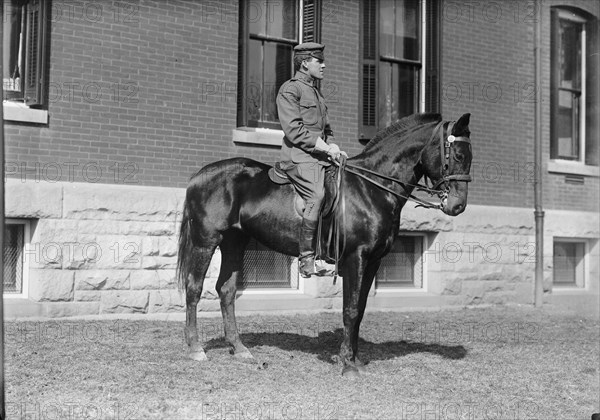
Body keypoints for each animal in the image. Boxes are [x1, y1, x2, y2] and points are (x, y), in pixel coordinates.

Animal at [177, 111, 474, 378]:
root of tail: (200, 175)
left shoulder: (373, 261)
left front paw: (353, 358)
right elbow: (350, 310)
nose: (458, 206)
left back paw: (239, 348)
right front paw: (348, 365)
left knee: (226, 290)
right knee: (194, 289)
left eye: (470, 157)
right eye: (458, 156)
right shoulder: (355, 258)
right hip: (206, 241)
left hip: (235, 242)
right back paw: (195, 348)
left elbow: (360, 310)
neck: (372, 187)